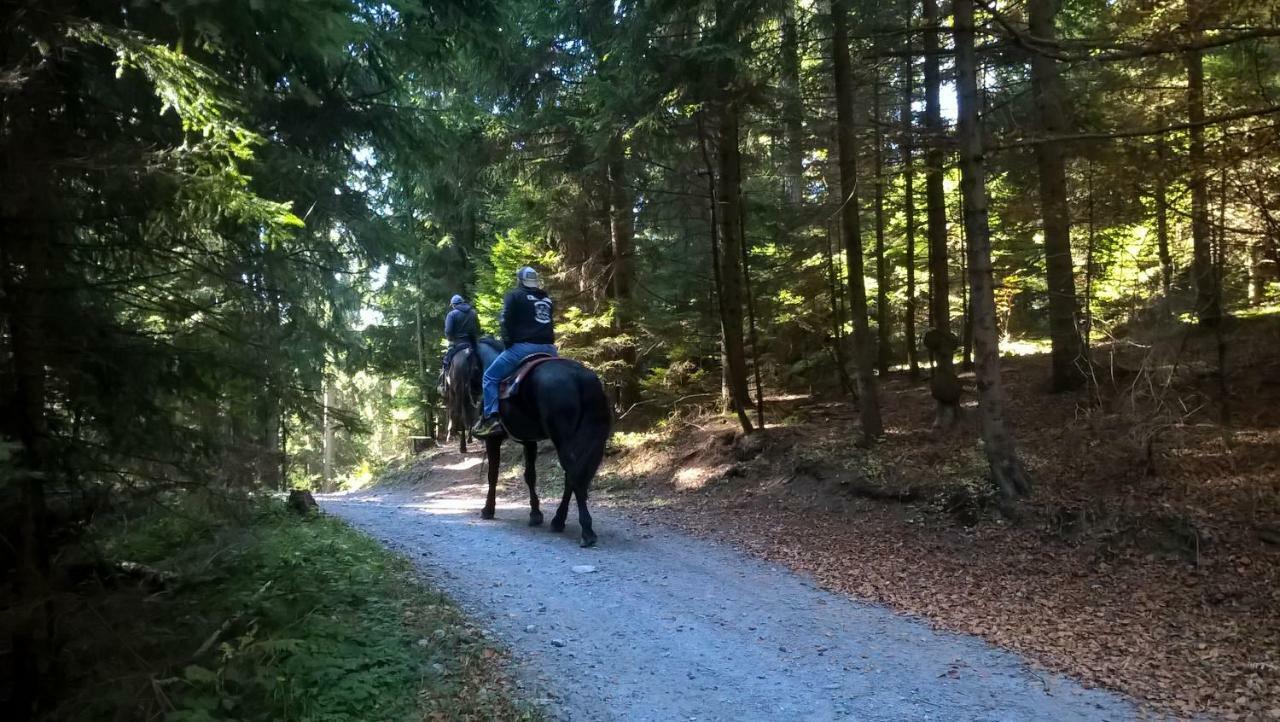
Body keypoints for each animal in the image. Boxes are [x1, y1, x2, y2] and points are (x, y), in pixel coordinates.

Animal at [476, 337, 609, 547]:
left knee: (574, 476)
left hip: (563, 439)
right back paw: (559, 520)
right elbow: (530, 475)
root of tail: (581, 378)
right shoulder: (529, 441)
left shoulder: (493, 440)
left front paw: (488, 510)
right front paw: (535, 514)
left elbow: (493, 475)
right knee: (572, 477)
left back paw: (586, 531)